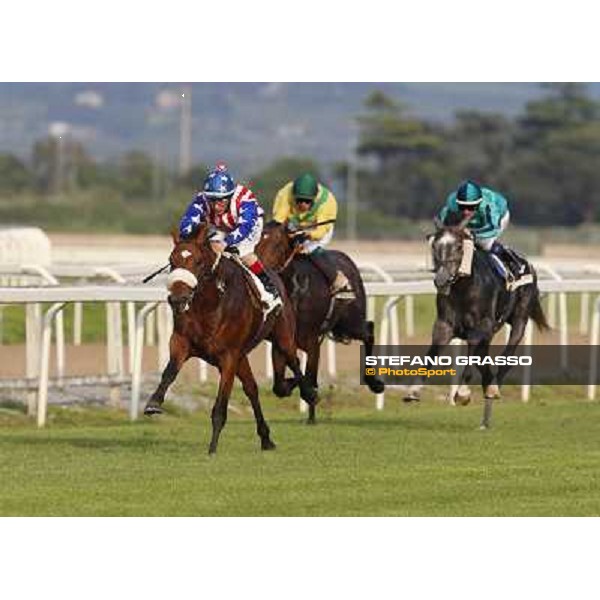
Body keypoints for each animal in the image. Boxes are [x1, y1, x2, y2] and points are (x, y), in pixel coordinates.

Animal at [143, 223, 316, 452]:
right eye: (172, 261)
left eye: (198, 261)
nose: (178, 299)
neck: (209, 306)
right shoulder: (181, 342)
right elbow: (169, 372)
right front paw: (153, 403)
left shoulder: (228, 357)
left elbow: (220, 407)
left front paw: (212, 449)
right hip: (242, 357)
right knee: (253, 389)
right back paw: (266, 438)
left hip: (283, 336)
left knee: (293, 362)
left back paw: (308, 392)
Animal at [255, 220, 382, 422]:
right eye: (256, 240)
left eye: (276, 243)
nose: (259, 269)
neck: (294, 291)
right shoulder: (281, 341)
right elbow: (281, 386)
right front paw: (302, 389)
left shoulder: (311, 339)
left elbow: (306, 374)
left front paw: (310, 392)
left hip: (351, 322)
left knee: (369, 331)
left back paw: (375, 382)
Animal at [406, 220, 552, 426]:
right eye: (434, 246)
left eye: (459, 247)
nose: (441, 279)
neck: (464, 288)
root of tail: (528, 263)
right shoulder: (444, 326)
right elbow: (431, 355)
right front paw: (413, 390)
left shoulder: (480, 327)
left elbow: (472, 357)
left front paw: (462, 393)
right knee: (484, 359)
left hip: (519, 318)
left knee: (508, 353)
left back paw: (493, 387)